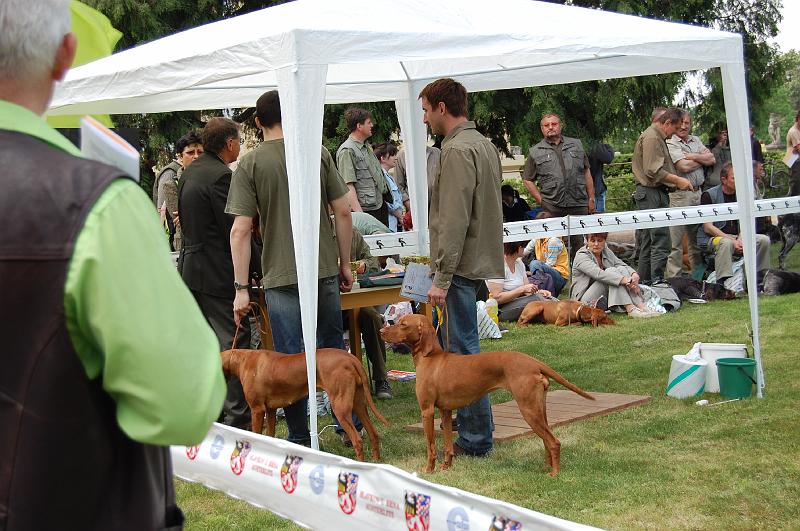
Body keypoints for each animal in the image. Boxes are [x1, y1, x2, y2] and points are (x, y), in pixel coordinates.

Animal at [220, 350, 390, 462]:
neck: (242, 359)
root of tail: (351, 358)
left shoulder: (257, 410)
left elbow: (256, 435)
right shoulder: (270, 410)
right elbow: (270, 435)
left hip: (340, 408)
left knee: (357, 440)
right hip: (359, 404)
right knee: (373, 433)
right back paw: (376, 462)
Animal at [380, 314, 592, 476]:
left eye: (403, 324)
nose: (381, 331)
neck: (430, 357)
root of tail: (533, 362)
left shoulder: (427, 410)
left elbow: (430, 446)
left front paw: (429, 469)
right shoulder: (445, 411)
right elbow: (448, 446)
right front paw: (446, 467)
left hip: (528, 410)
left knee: (554, 442)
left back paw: (554, 473)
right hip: (539, 409)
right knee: (547, 440)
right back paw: (546, 467)